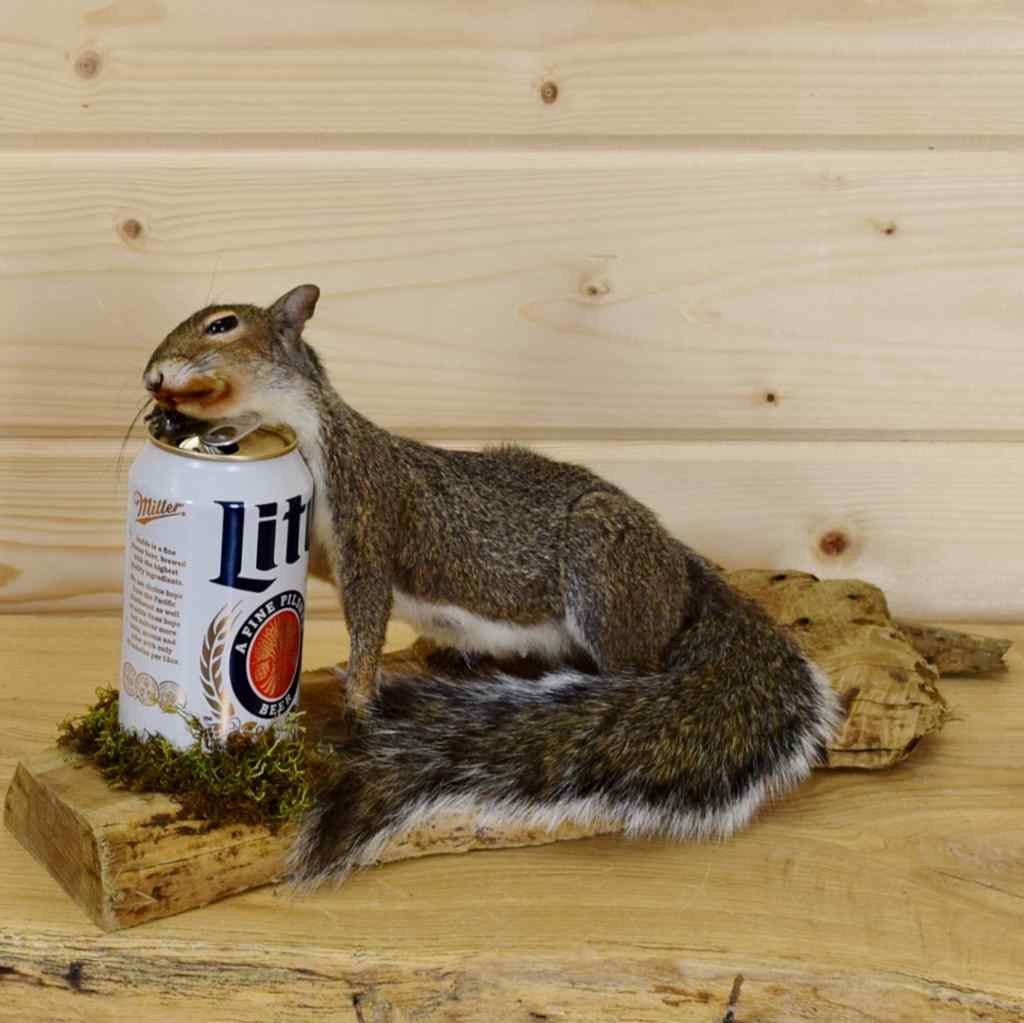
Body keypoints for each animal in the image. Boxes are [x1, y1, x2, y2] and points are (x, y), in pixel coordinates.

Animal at [142, 284, 840, 888]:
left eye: (223, 325)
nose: (151, 380)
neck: (307, 430)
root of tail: (680, 568)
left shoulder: (368, 515)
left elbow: (368, 615)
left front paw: (360, 700)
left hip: (604, 570)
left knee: (629, 666)